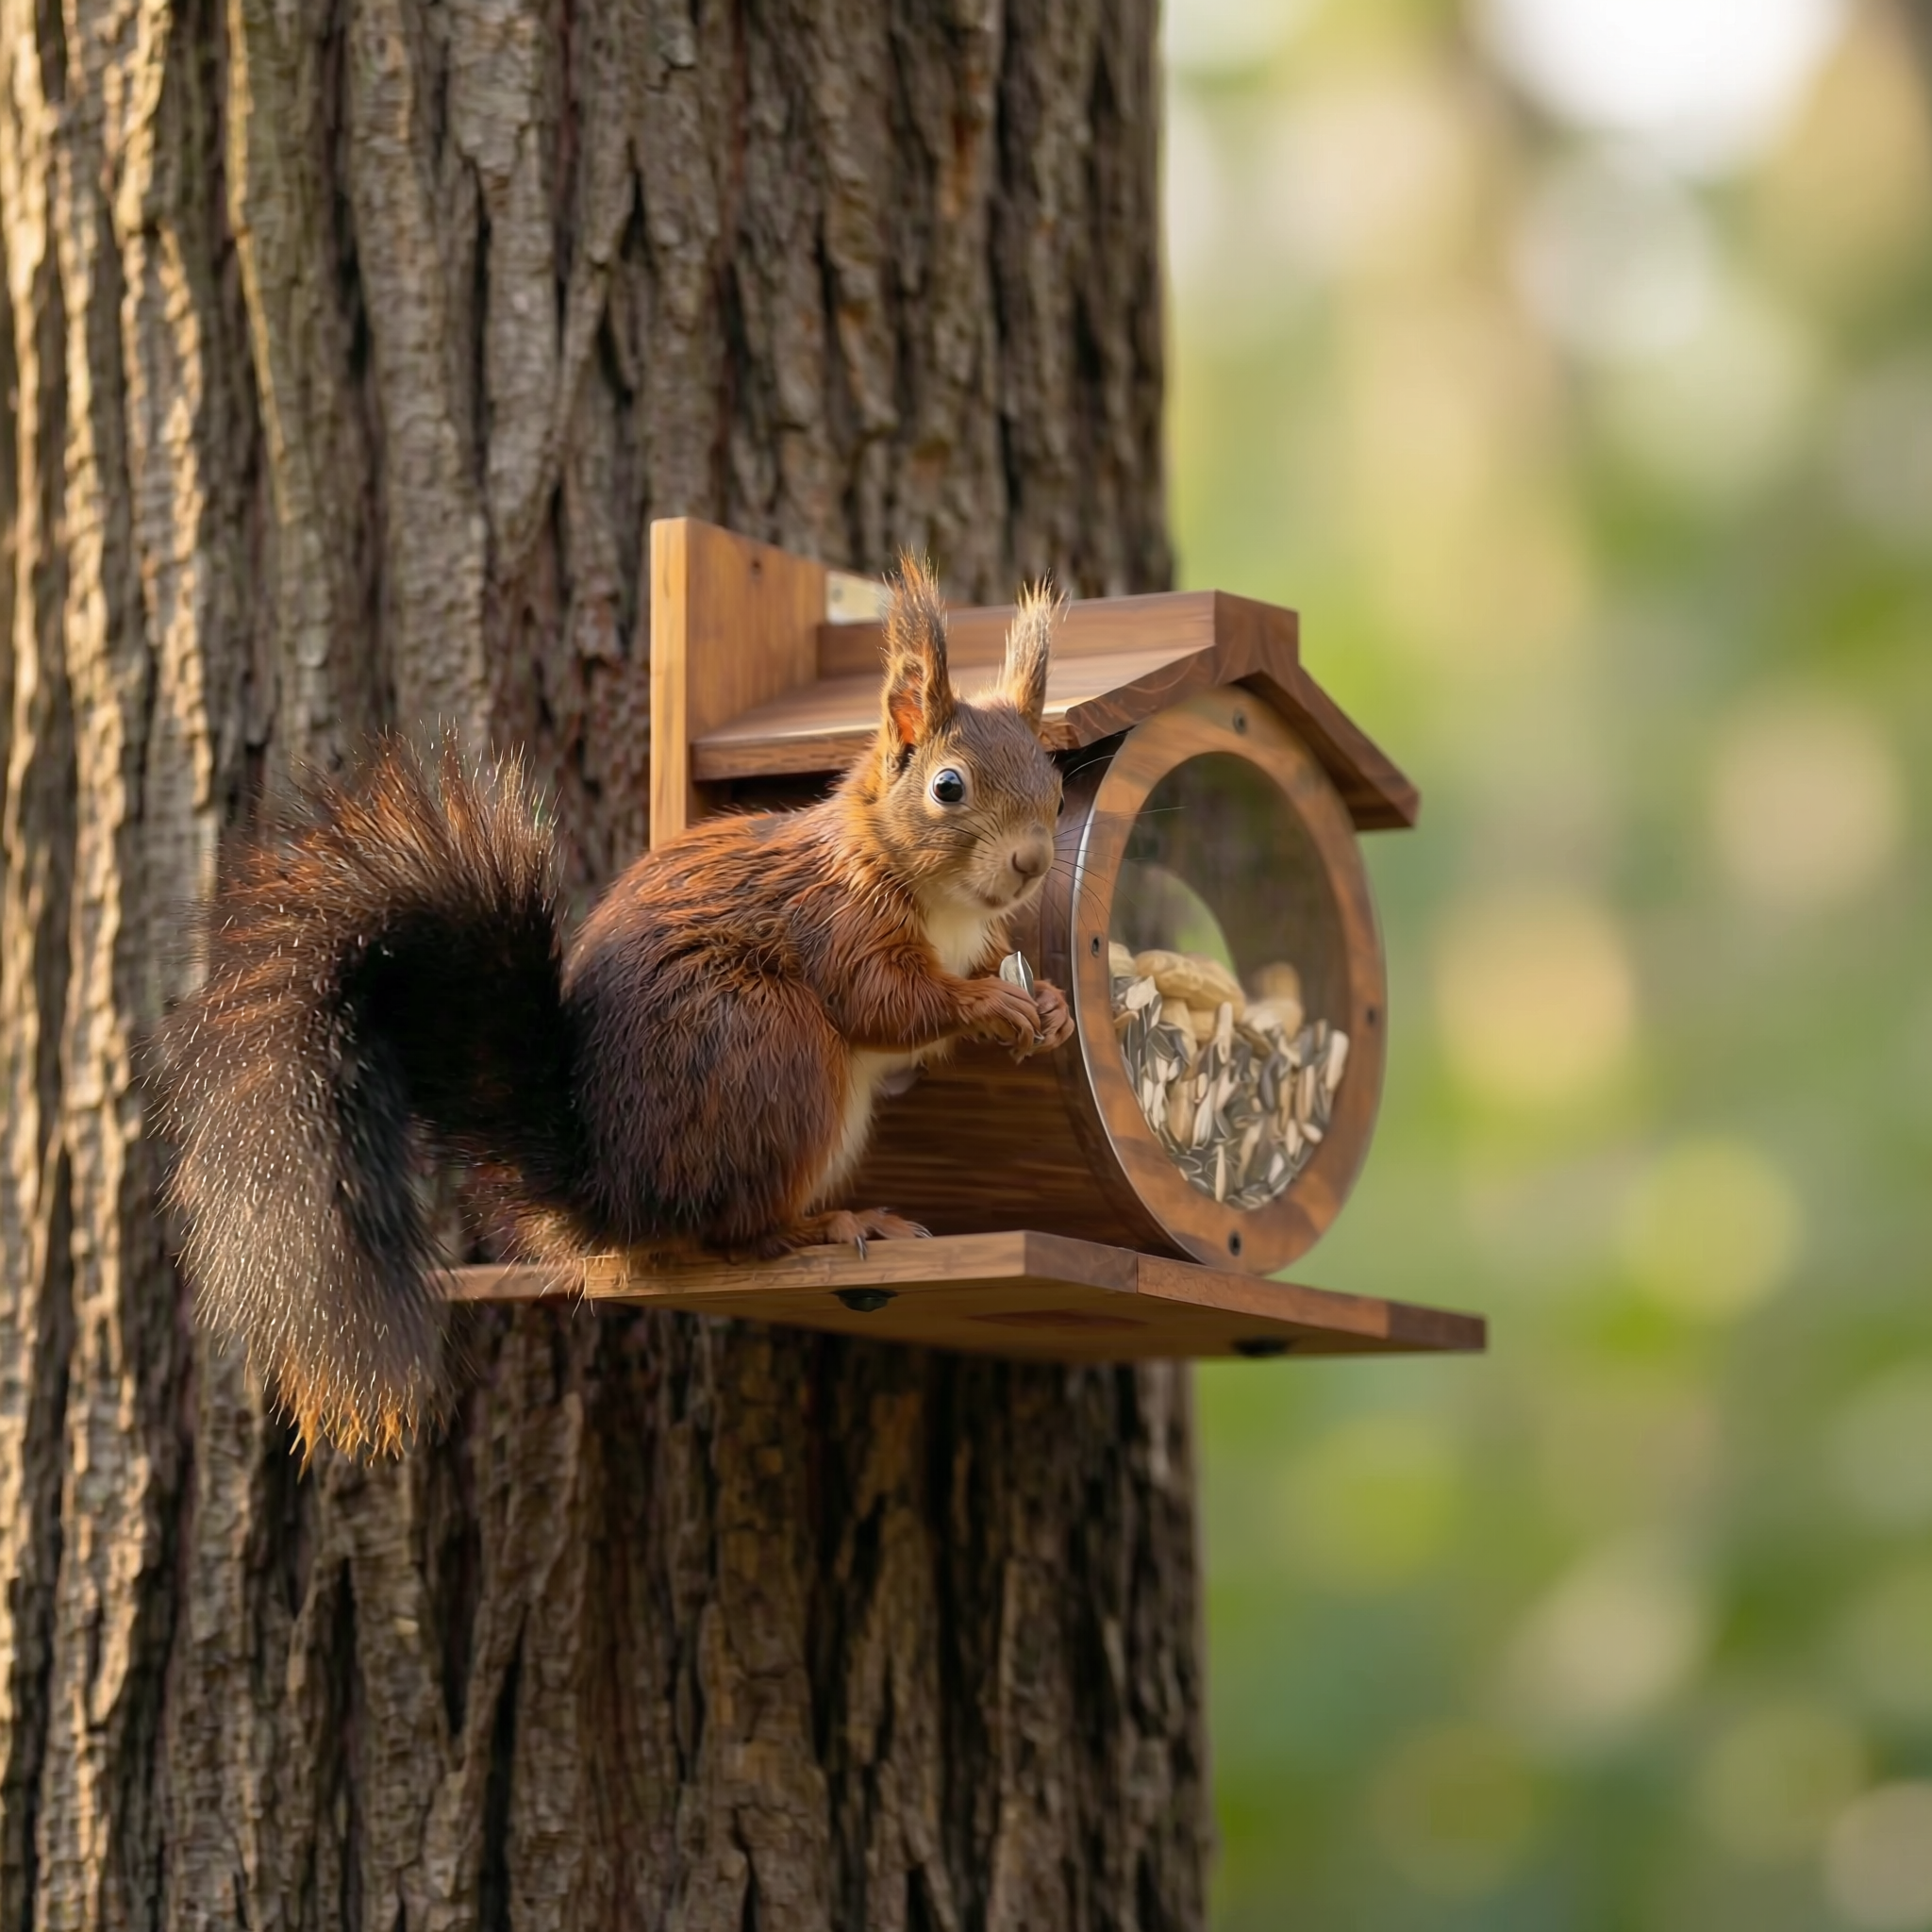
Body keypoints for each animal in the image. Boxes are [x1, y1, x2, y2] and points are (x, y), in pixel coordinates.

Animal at [152, 561, 1076, 1457]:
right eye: (949, 787)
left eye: (1059, 790)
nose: (1033, 863)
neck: (931, 890)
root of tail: (615, 1193)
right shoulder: (837, 920)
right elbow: (887, 1003)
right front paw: (989, 1002)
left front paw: (1055, 1005)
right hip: (767, 1045)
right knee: (737, 1236)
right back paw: (832, 1224)